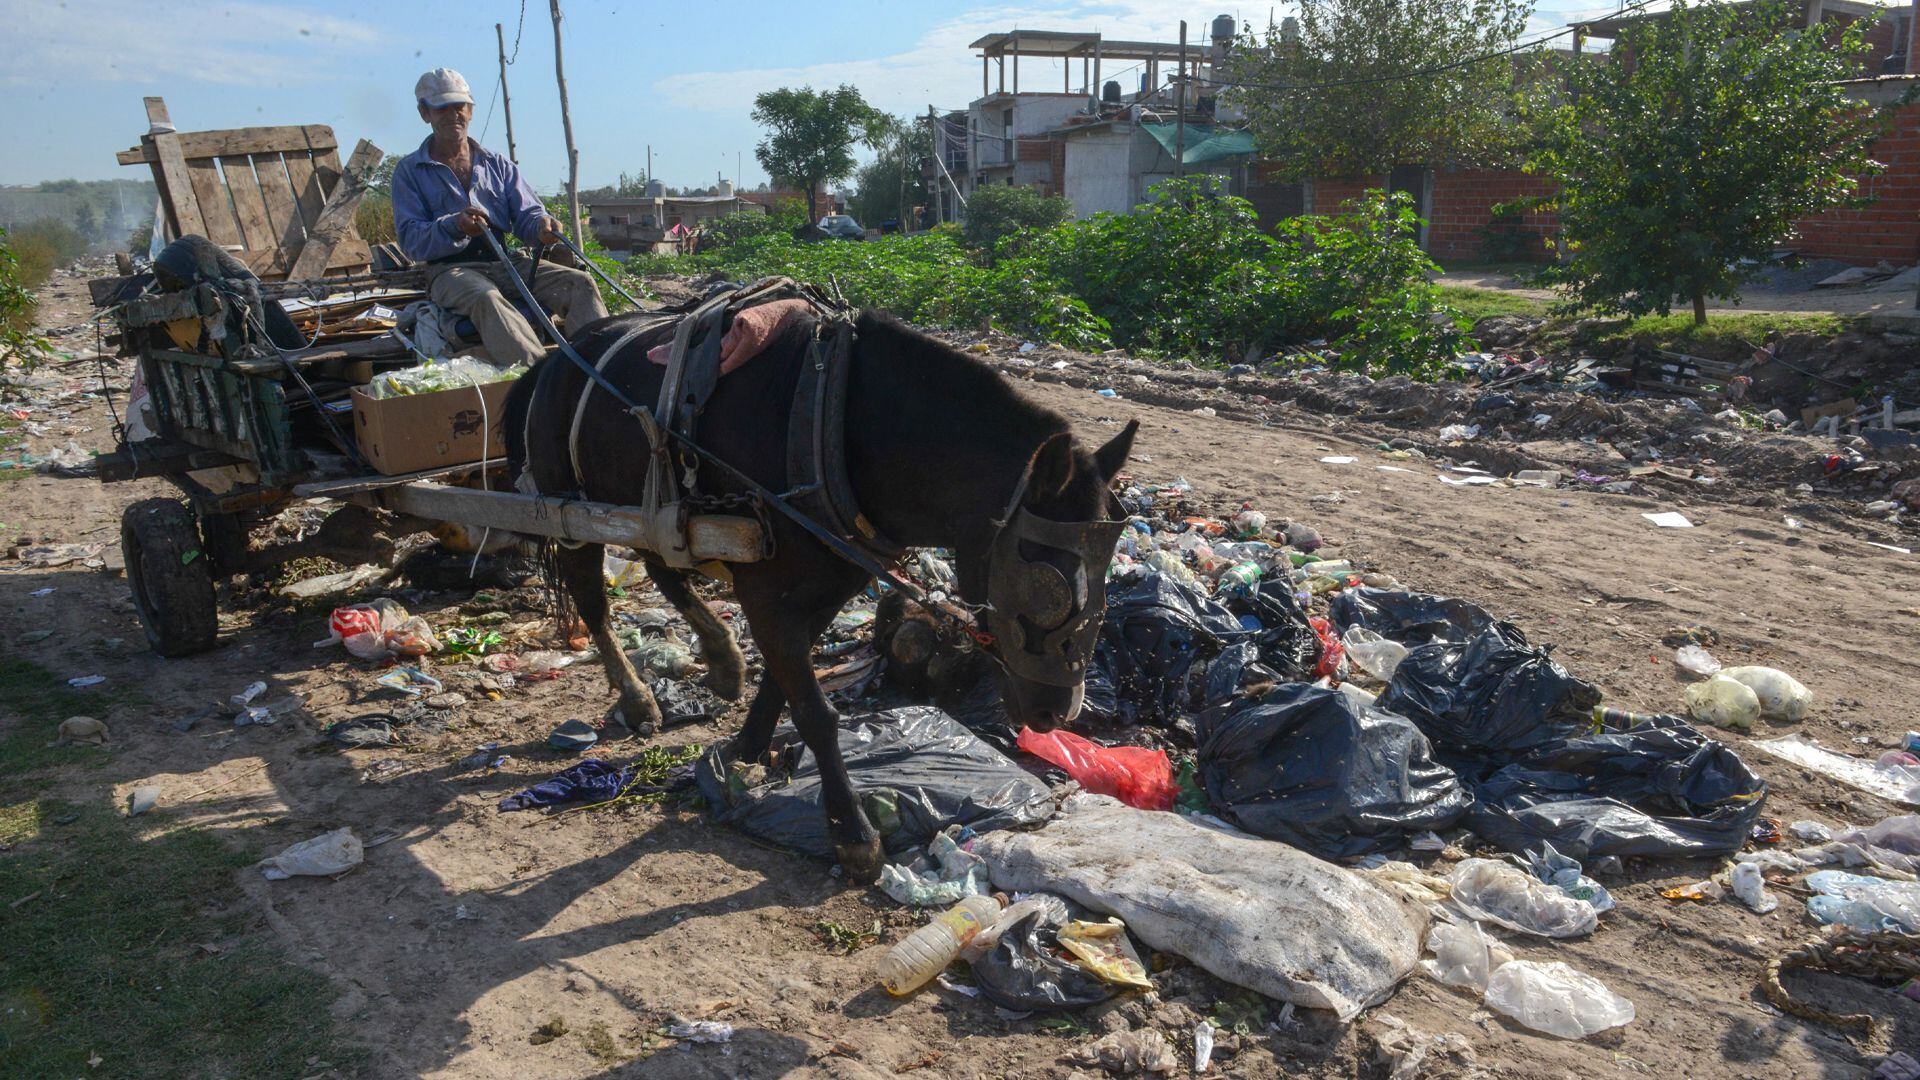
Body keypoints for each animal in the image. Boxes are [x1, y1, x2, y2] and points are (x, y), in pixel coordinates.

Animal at [510, 307, 1128, 880]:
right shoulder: (765, 591)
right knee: (593, 599)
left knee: (665, 565)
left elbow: (783, 683)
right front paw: (852, 833)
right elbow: (813, 710)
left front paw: (745, 749)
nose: (1057, 711)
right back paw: (638, 695)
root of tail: (550, 363)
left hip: (651, 509)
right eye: (1047, 583)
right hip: (573, 509)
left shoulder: (832, 583)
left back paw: (722, 659)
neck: (833, 423)